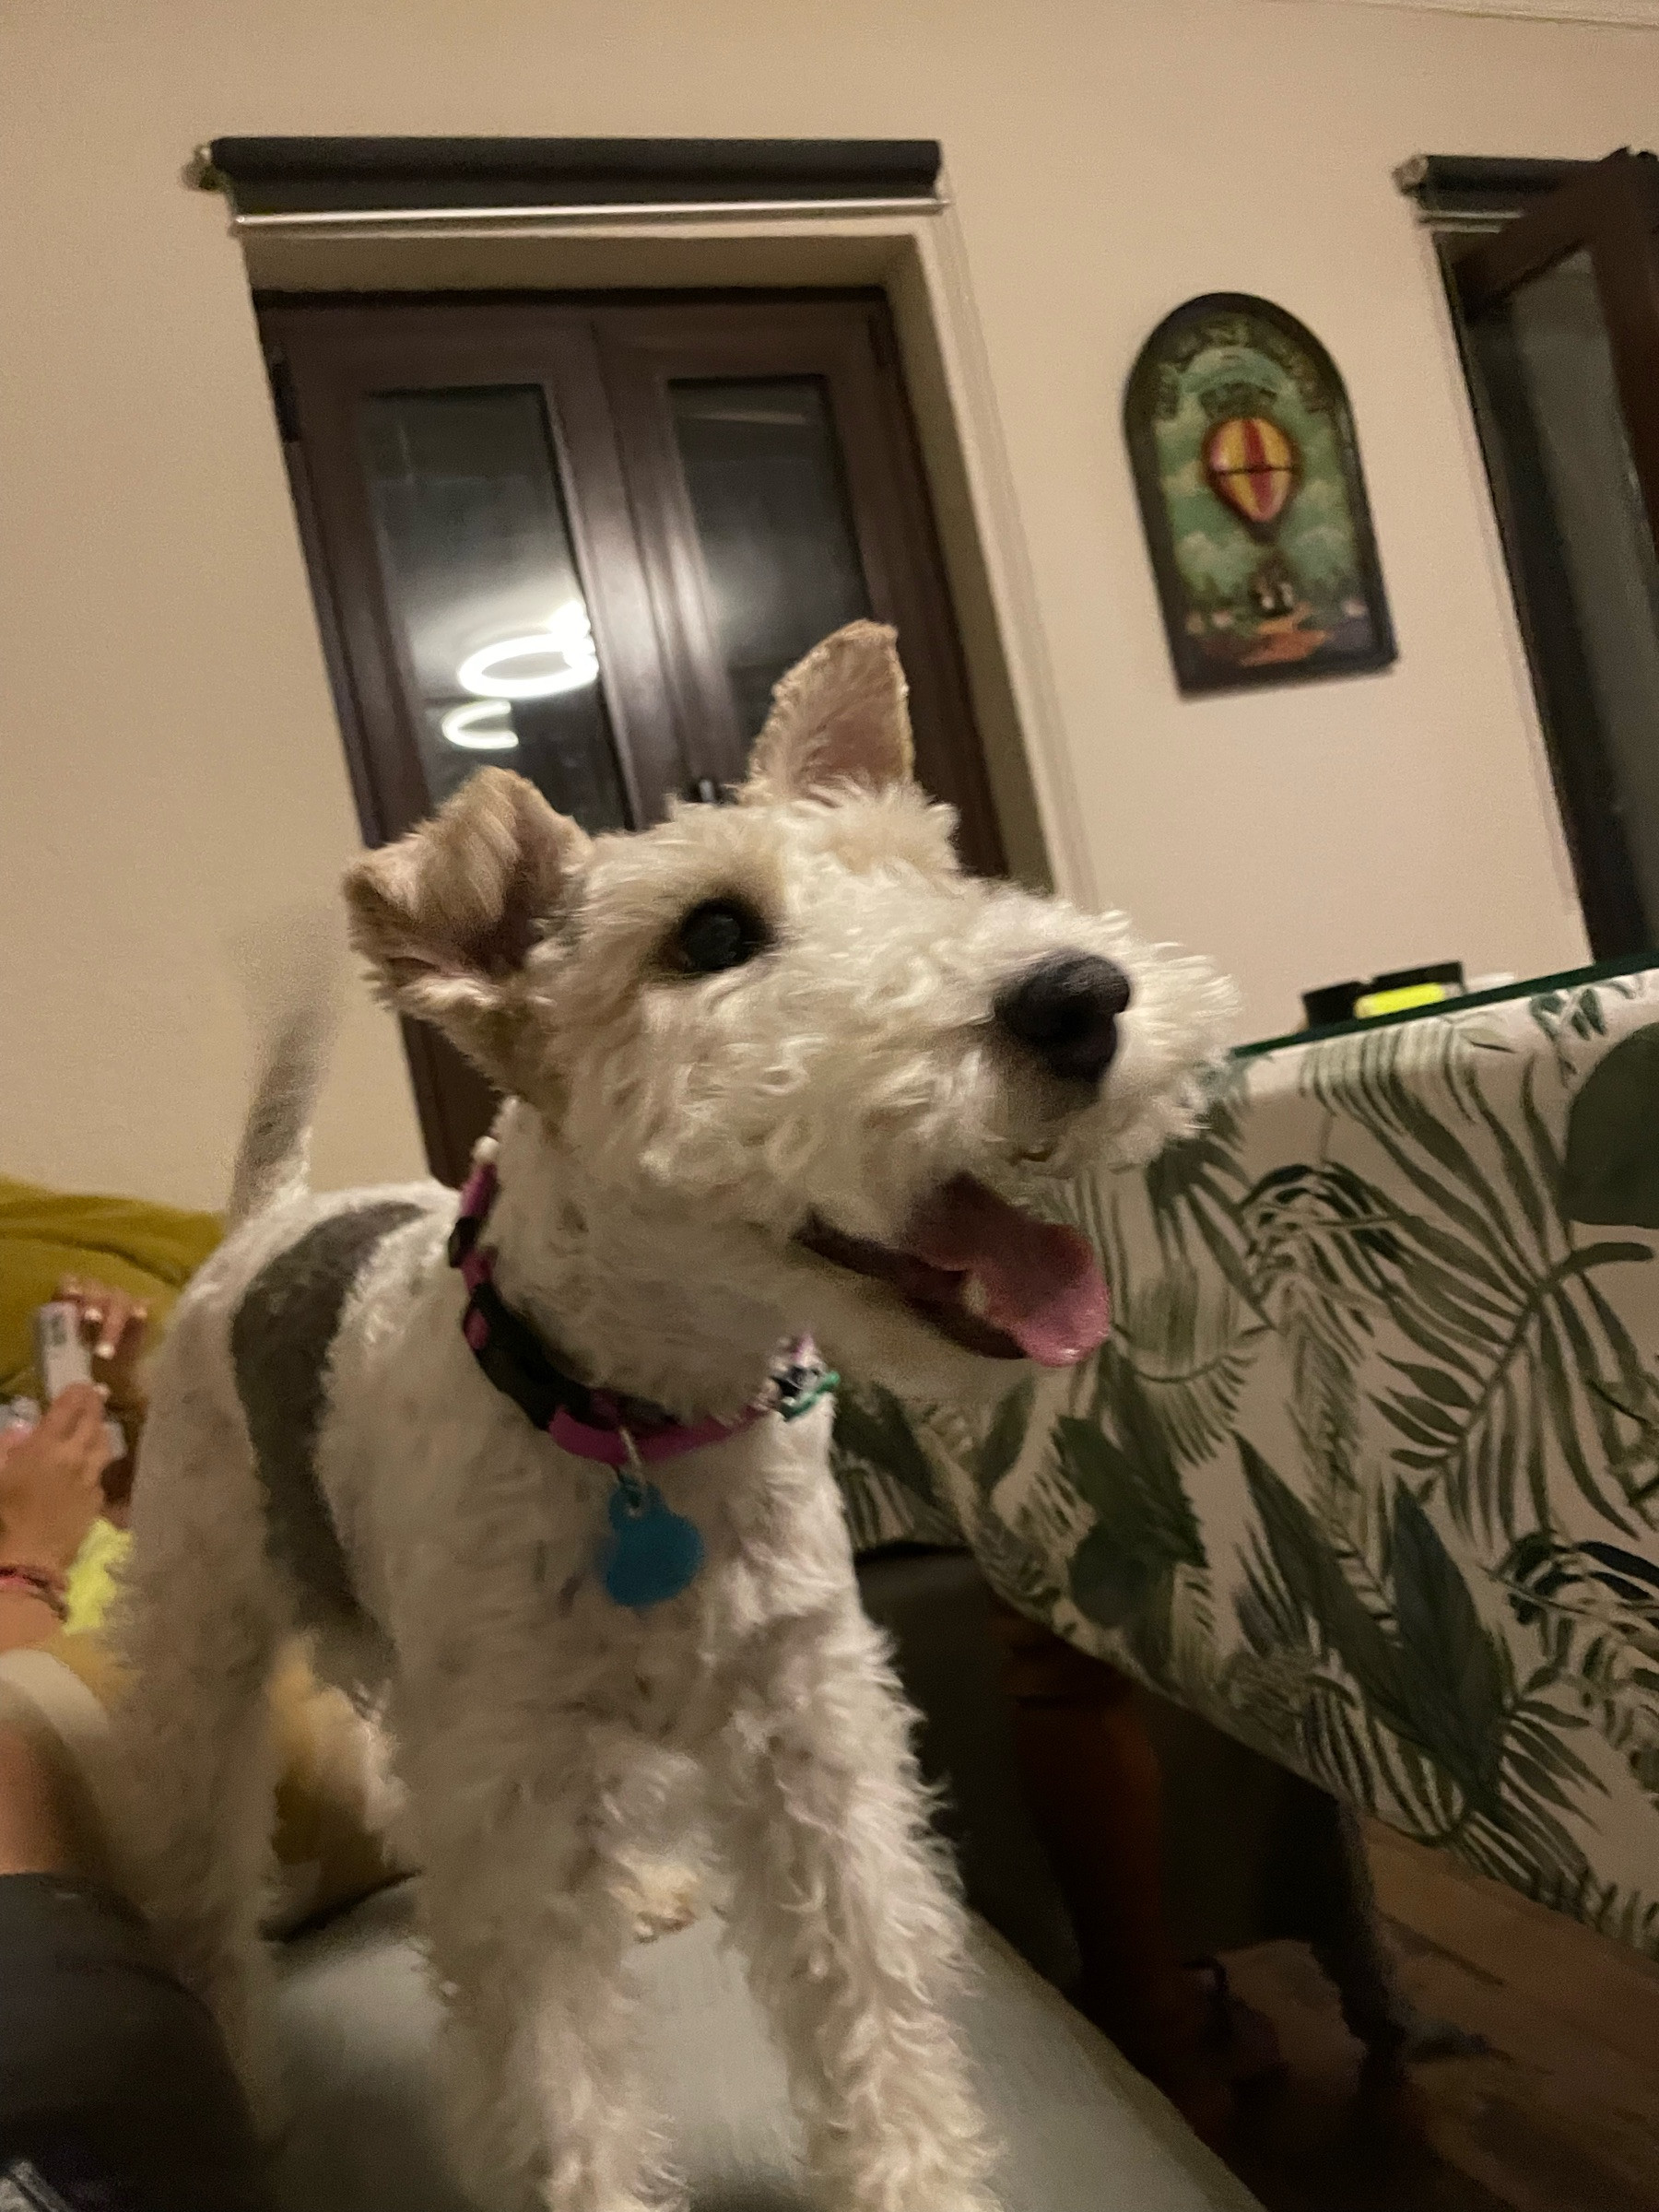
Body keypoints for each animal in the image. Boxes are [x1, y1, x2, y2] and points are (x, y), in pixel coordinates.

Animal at [111, 623, 1233, 2211]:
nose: (1082, 1000)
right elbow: (564, 2100)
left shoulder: (809, 1735)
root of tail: (272, 1220)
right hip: (203, 1640)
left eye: (924, 869)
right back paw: (250, 2096)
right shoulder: (517, 1823)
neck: (641, 1414)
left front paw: (915, 2177)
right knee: (210, 1901)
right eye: (709, 936)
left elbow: (871, 2004)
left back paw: (635, 1885)